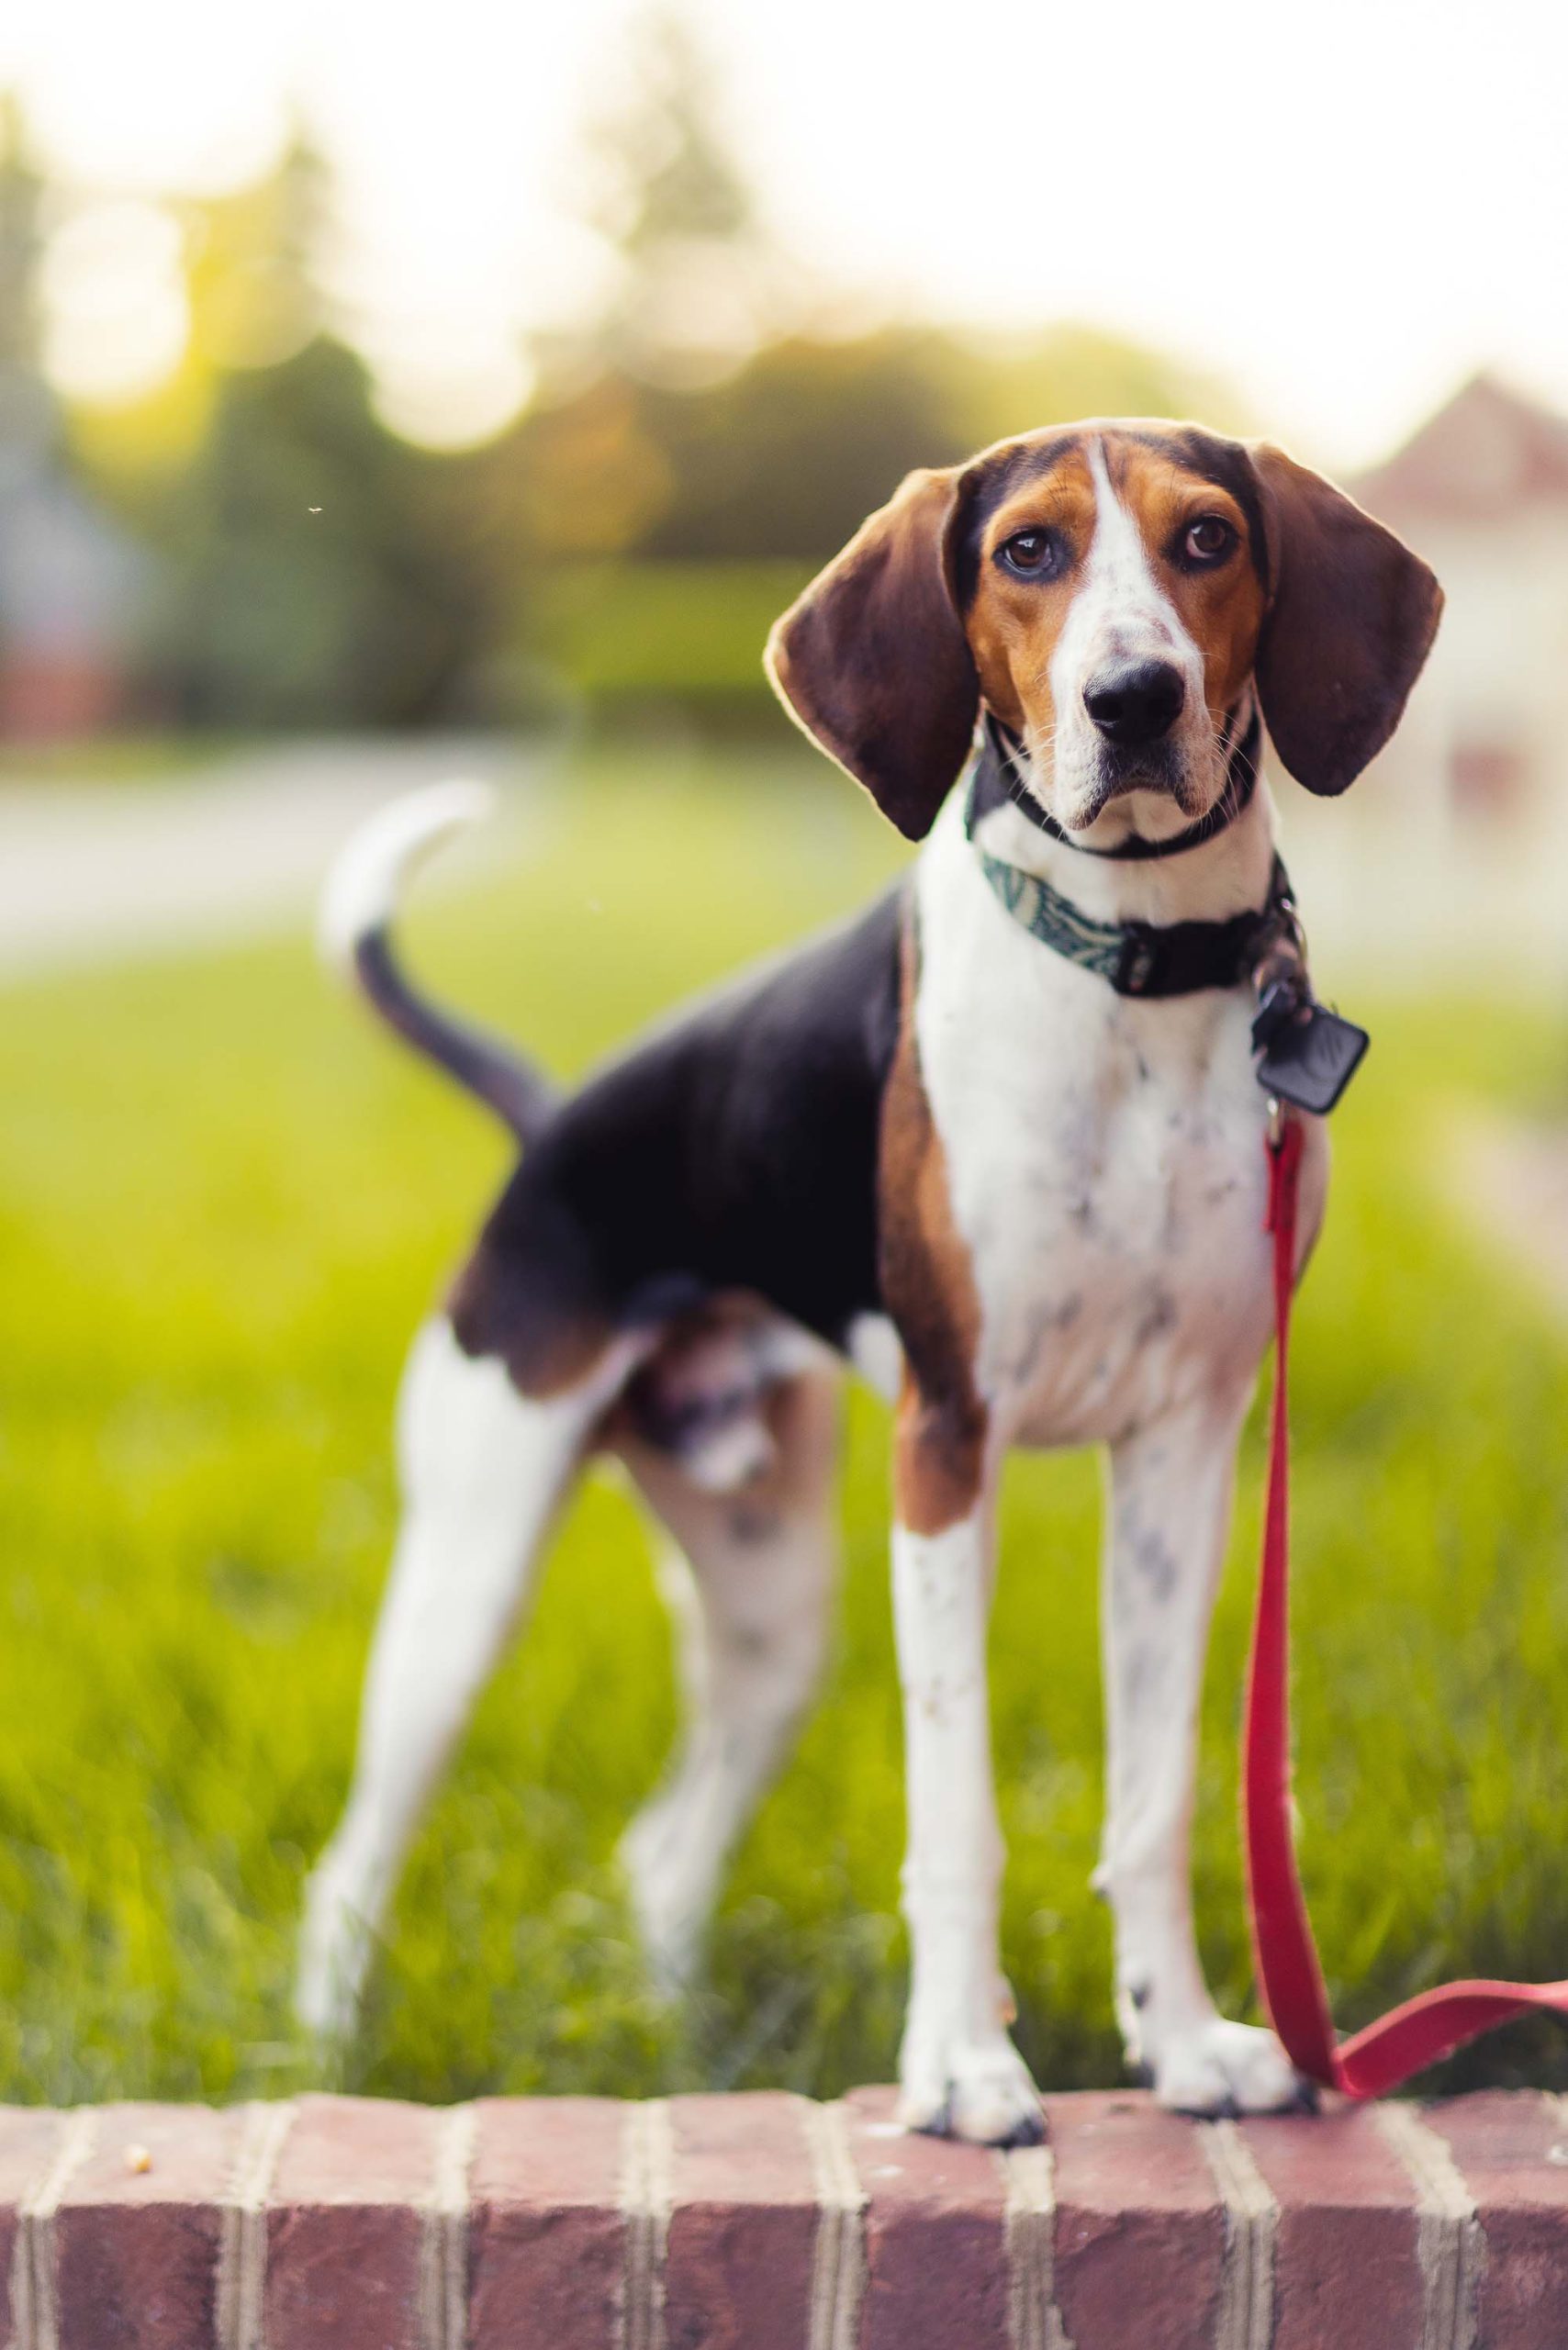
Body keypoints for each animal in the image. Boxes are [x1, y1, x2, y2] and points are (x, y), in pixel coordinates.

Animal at [294, 413, 1448, 2143]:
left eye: (1207, 538)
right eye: (1027, 552)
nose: (1133, 699)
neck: (1136, 974)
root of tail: (549, 1123)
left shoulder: (1183, 1447)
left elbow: (1155, 1797)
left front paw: (1180, 2044)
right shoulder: (948, 1447)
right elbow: (955, 1813)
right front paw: (962, 2066)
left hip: (772, 1610)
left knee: (657, 1855)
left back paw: (686, 2046)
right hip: (466, 1579)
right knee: (352, 1862)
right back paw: (321, 2055)